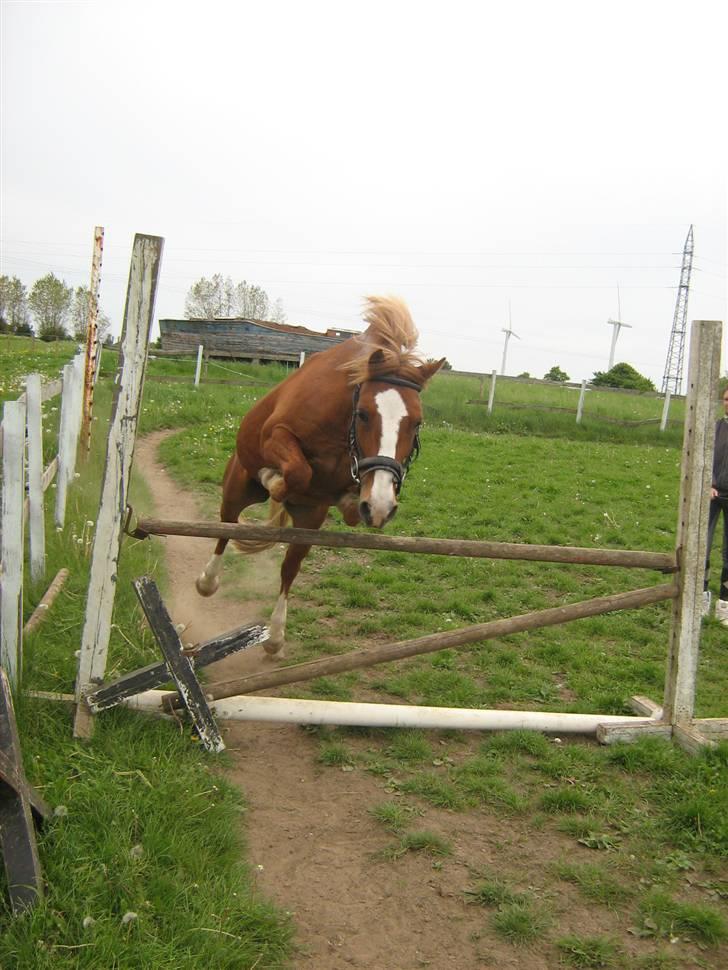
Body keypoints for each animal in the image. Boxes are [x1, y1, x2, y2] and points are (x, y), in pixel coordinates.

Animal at [196, 294, 444, 656]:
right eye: (363, 414)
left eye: (417, 423)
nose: (382, 507)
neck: (341, 425)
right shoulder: (276, 434)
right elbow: (298, 471)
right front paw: (274, 478)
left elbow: (350, 510)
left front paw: (355, 504)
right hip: (237, 488)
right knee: (226, 527)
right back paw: (207, 581)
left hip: (308, 523)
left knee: (289, 568)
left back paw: (275, 636)